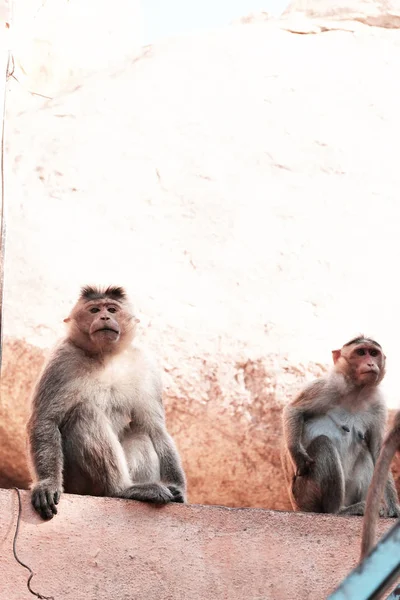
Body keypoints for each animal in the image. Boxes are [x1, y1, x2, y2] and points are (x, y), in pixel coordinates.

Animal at [27, 288, 187, 520]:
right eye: (94, 310)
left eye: (111, 309)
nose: (104, 317)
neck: (106, 356)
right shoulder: (62, 359)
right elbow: (46, 420)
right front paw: (47, 484)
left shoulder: (144, 364)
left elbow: (155, 429)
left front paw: (178, 489)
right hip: (77, 482)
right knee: (85, 413)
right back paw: (122, 490)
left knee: (141, 431)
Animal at [282, 336, 400, 516]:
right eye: (361, 352)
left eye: (373, 353)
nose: (371, 364)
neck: (357, 391)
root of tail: (297, 507)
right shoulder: (328, 385)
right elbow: (294, 410)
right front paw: (298, 454)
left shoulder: (378, 405)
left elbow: (378, 450)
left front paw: (394, 508)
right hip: (304, 495)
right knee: (323, 444)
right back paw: (339, 510)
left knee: (365, 454)